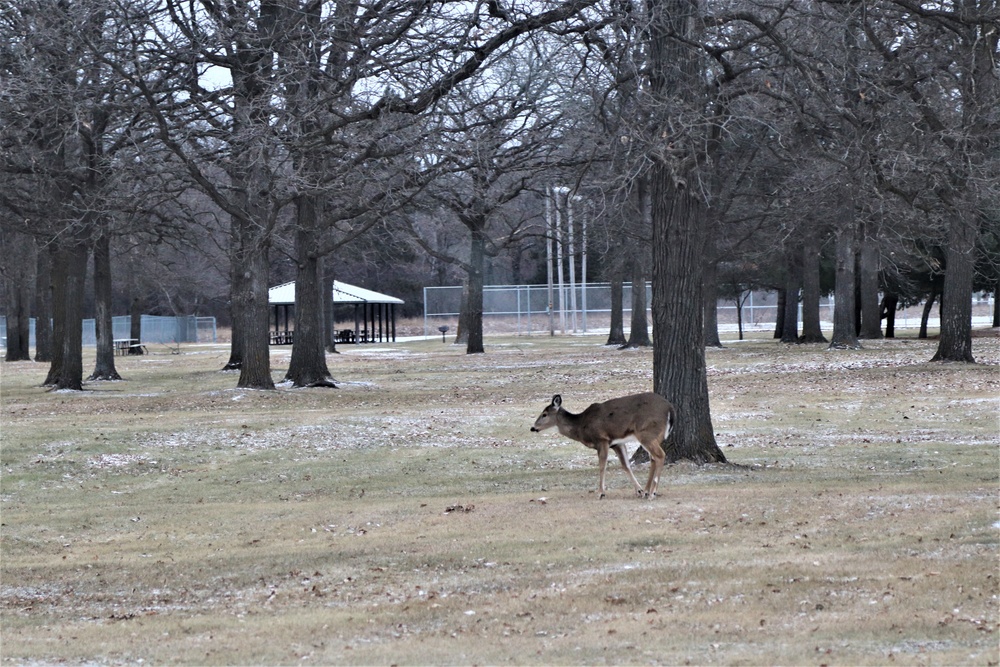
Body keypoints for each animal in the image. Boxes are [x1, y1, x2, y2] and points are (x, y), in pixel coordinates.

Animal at [528, 394, 676, 498]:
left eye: (544, 414)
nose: (533, 428)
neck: (581, 426)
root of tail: (670, 409)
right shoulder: (617, 443)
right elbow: (625, 466)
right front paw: (638, 490)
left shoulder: (602, 439)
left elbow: (602, 466)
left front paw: (600, 492)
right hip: (653, 436)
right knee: (653, 458)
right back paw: (646, 491)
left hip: (646, 433)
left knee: (660, 455)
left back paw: (652, 492)